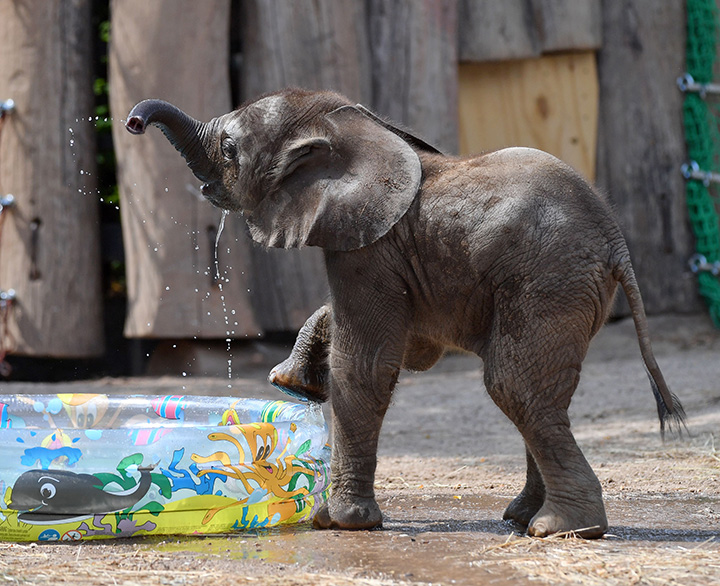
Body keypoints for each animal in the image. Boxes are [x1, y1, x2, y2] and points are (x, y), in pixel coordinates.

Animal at [125, 88, 685, 538]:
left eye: (229, 149)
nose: (131, 123)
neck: (355, 129)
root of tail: (616, 241)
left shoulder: (370, 248)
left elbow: (365, 365)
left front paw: (337, 522)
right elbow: (408, 346)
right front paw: (292, 381)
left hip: (548, 279)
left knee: (515, 387)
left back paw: (560, 529)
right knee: (542, 396)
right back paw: (524, 518)